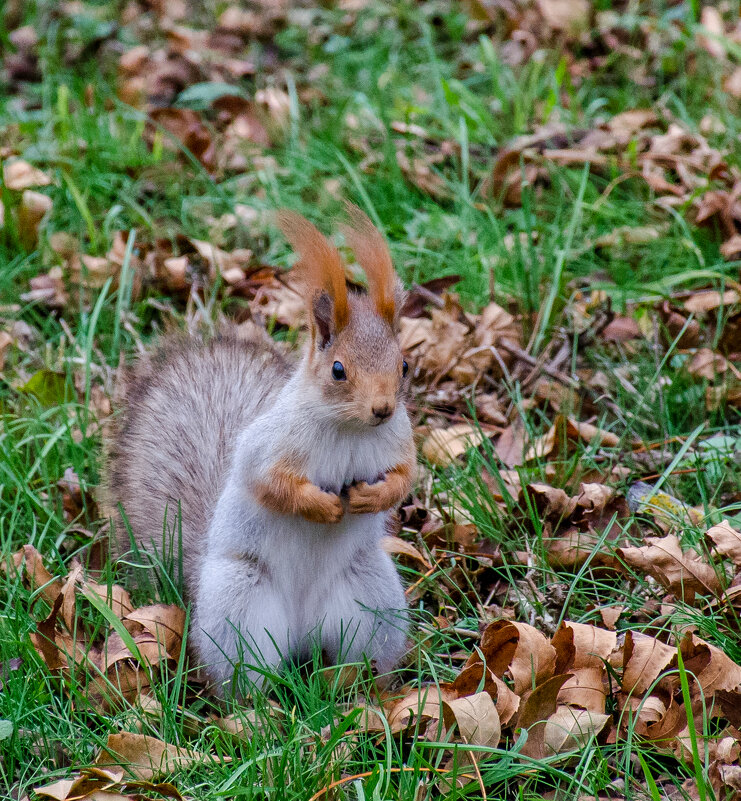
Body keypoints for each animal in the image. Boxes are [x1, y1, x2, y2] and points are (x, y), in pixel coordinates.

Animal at [104, 202, 416, 692]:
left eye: (403, 365)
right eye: (338, 370)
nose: (383, 409)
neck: (351, 430)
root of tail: (302, 630)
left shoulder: (399, 442)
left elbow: (405, 477)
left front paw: (375, 495)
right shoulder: (270, 445)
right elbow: (269, 482)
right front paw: (320, 507)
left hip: (372, 599)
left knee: (359, 659)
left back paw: (358, 688)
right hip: (240, 603)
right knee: (245, 676)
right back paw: (261, 705)